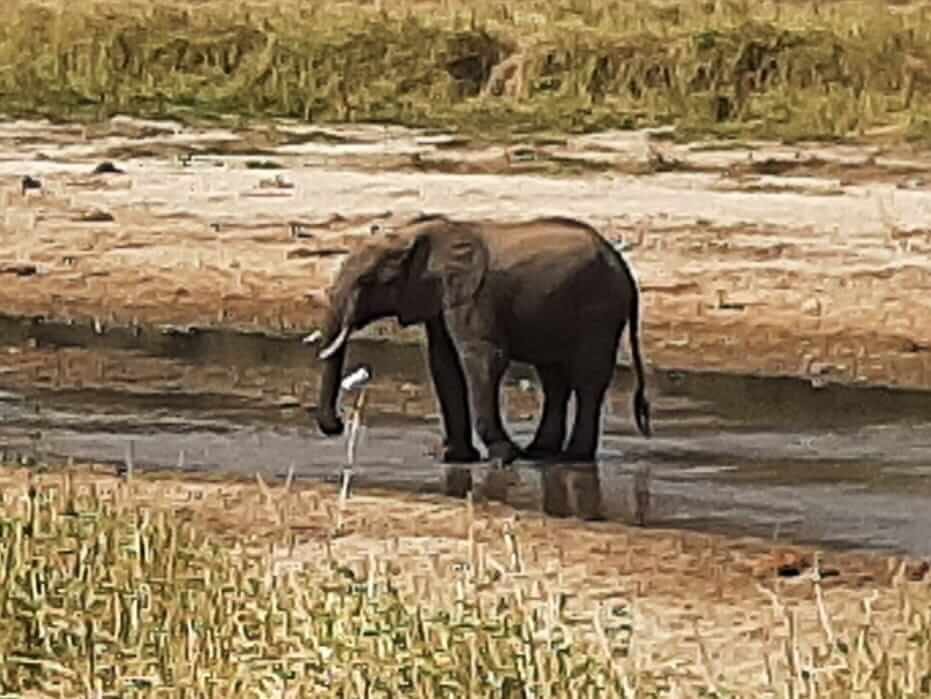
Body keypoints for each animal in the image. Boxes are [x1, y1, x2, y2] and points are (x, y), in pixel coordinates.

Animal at [316, 213, 652, 464]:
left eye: (366, 281)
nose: (338, 425)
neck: (417, 233)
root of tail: (623, 267)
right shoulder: (441, 295)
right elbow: (443, 364)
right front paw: (453, 457)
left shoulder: (475, 294)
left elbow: (483, 358)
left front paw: (503, 457)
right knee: (554, 378)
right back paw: (541, 452)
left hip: (600, 310)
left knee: (588, 378)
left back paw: (573, 456)